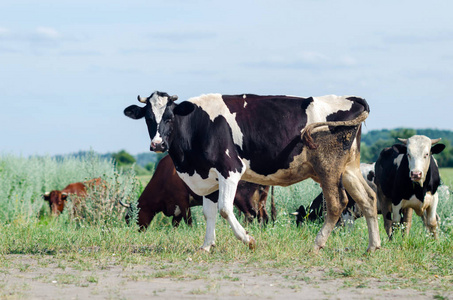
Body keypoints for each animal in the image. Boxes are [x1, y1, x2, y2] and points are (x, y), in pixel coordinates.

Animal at [120, 156, 274, 229]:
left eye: (129, 216)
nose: (136, 231)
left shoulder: (182, 200)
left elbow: (188, 220)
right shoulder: (176, 207)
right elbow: (175, 223)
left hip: (243, 198)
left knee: (250, 215)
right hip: (261, 198)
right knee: (263, 216)